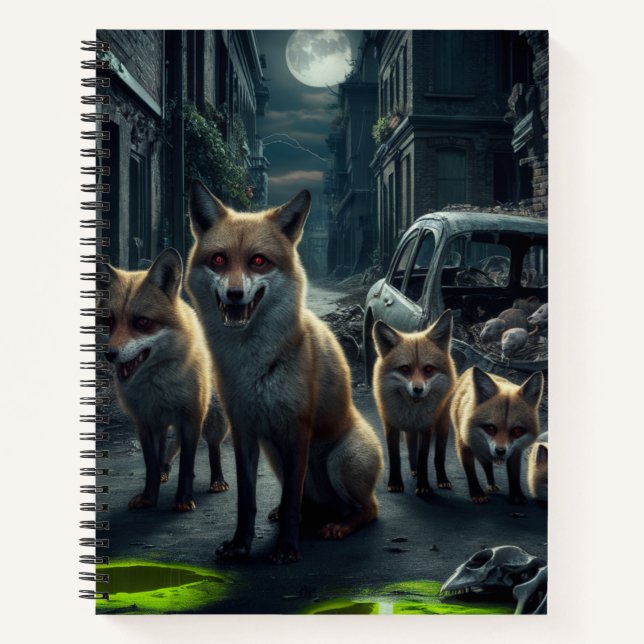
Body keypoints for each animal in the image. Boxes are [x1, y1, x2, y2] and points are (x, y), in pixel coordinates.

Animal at [103, 248, 229, 511]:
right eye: (108, 321)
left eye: (142, 322)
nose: (109, 354)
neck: (156, 387)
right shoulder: (145, 421)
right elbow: (151, 463)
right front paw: (149, 497)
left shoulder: (191, 416)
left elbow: (187, 465)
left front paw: (183, 499)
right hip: (166, 425)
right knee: (169, 450)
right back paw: (164, 470)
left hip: (214, 421)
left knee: (212, 449)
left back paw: (217, 480)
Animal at [186, 180, 384, 564]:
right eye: (218, 259)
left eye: (258, 261)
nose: (234, 294)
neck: (252, 364)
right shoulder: (245, 430)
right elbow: (247, 501)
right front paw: (240, 545)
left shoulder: (297, 430)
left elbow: (293, 502)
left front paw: (288, 549)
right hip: (275, 455)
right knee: (308, 503)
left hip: (338, 461)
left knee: (367, 509)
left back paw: (340, 525)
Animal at [372, 310, 456, 496]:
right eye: (405, 369)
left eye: (429, 369)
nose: (418, 389)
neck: (411, 413)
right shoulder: (390, 425)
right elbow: (395, 456)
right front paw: (395, 483)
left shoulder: (427, 427)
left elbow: (424, 458)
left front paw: (423, 485)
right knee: (411, 448)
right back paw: (413, 470)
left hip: (442, 424)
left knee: (438, 455)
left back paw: (442, 479)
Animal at [450, 366, 544, 504]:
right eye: (490, 428)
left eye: (517, 431)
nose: (500, 451)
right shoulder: (464, 444)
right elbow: (471, 472)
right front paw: (477, 493)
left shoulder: (515, 450)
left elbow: (514, 474)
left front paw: (516, 494)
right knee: (487, 465)